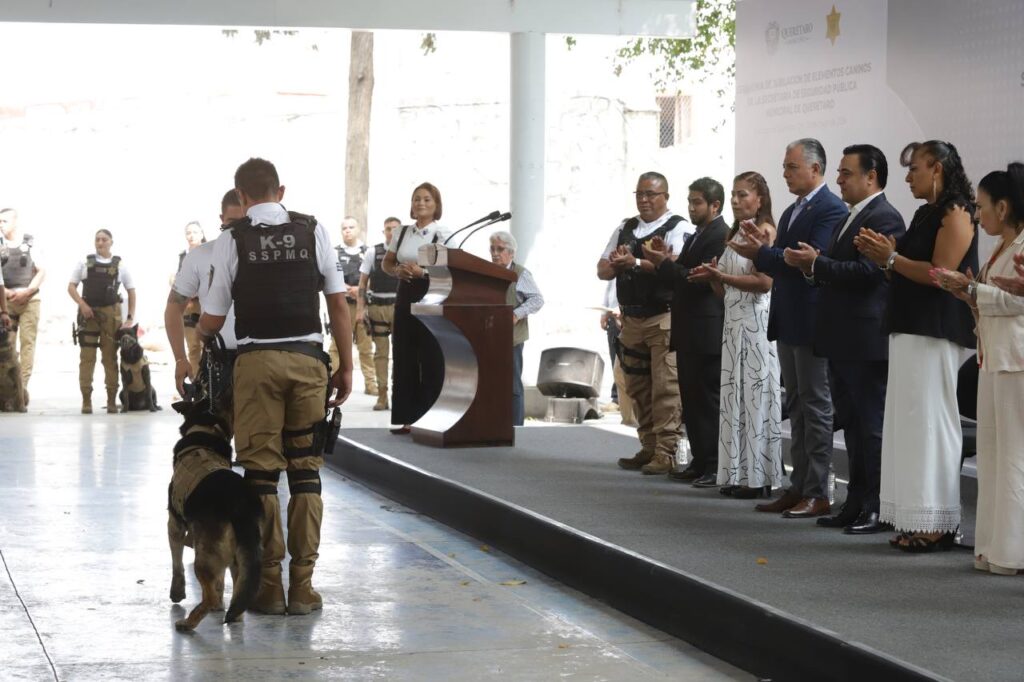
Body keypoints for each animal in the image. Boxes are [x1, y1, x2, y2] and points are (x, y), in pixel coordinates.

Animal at [167, 399, 260, 626]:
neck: (205, 427)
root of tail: (239, 501)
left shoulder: (174, 524)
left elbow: (176, 564)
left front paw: (177, 592)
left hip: (204, 557)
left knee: (208, 596)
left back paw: (188, 623)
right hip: (241, 555)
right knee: (238, 590)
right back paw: (232, 614)